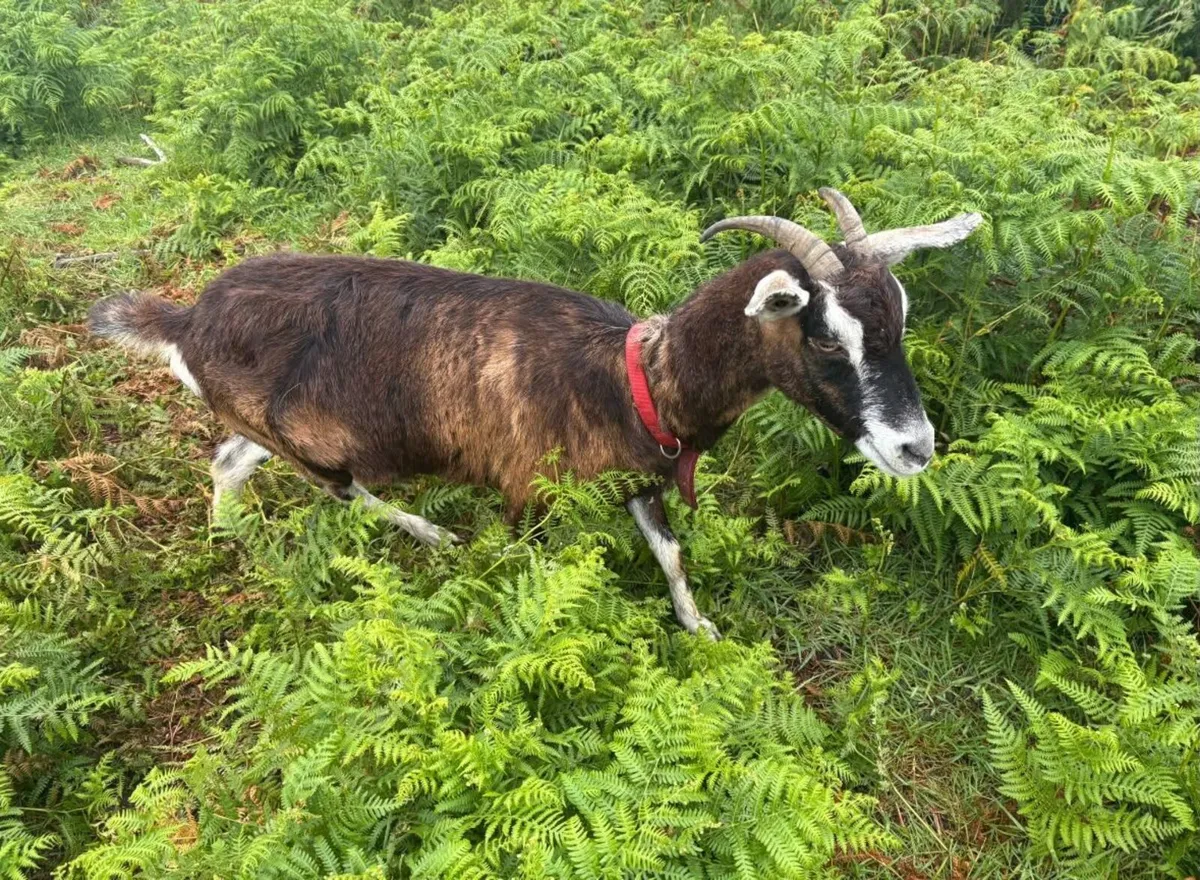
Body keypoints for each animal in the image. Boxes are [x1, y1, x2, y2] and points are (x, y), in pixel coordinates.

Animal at [89, 189, 981, 639]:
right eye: (825, 335)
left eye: (902, 315)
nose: (915, 448)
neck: (634, 381)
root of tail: (185, 322)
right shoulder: (526, 495)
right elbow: (528, 576)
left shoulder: (639, 482)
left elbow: (670, 555)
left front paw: (699, 629)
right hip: (313, 446)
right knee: (346, 490)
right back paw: (432, 535)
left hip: (263, 425)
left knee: (230, 461)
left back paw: (230, 541)